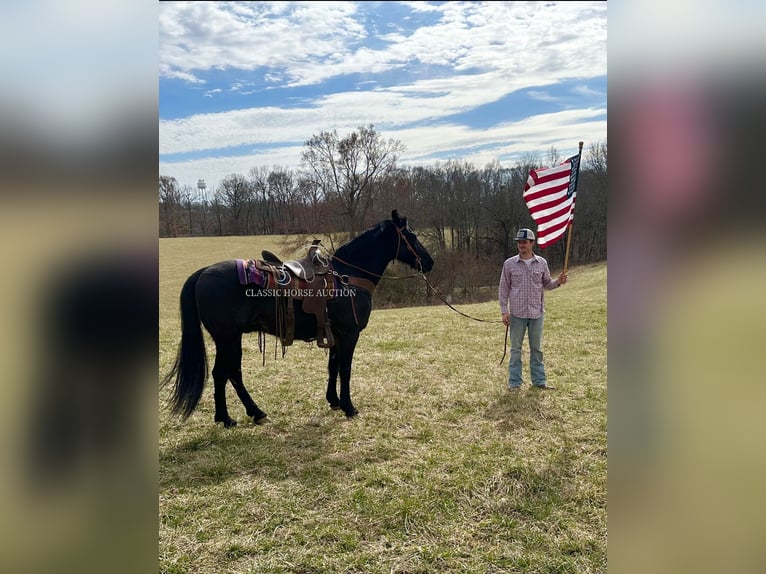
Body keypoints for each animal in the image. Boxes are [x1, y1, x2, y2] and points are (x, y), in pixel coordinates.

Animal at [163, 212, 436, 428]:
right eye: (411, 235)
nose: (429, 262)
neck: (348, 277)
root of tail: (203, 273)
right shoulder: (349, 333)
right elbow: (345, 369)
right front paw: (349, 407)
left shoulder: (335, 334)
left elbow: (333, 367)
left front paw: (334, 401)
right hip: (228, 338)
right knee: (225, 373)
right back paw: (232, 417)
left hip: (229, 339)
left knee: (230, 374)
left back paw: (248, 414)